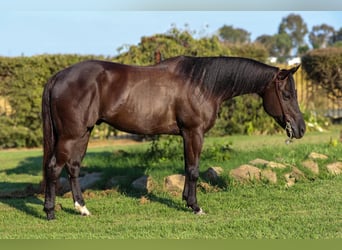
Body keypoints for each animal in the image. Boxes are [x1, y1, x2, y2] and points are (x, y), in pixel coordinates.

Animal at [41, 55, 306, 220]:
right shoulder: (193, 132)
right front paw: (196, 207)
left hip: (83, 134)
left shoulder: (186, 134)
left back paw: (82, 209)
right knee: (54, 168)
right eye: (286, 94)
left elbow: (188, 167)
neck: (202, 84)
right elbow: (194, 170)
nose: (301, 128)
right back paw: (50, 212)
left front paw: (187, 200)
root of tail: (58, 77)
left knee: (73, 168)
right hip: (70, 136)